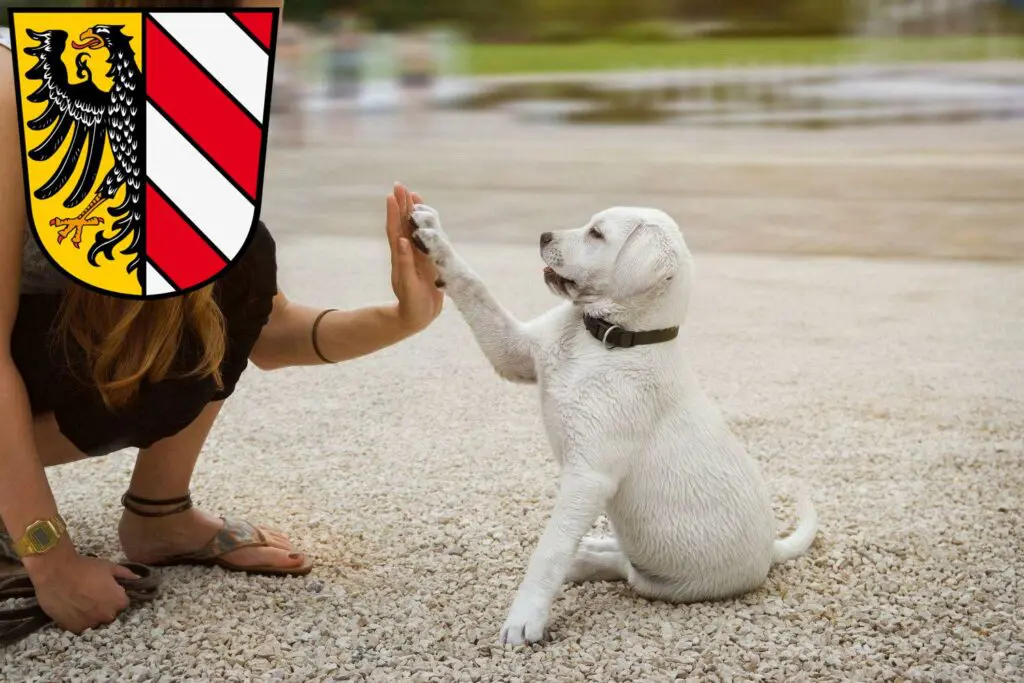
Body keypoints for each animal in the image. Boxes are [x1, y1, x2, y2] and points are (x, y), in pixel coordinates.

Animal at [407, 201, 815, 647]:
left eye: (596, 234)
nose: (543, 236)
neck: (605, 338)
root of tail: (771, 551)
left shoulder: (588, 476)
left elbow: (550, 549)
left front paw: (525, 617)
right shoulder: (515, 353)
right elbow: (475, 287)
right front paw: (434, 237)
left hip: (667, 582)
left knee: (627, 569)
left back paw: (585, 561)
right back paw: (587, 553)